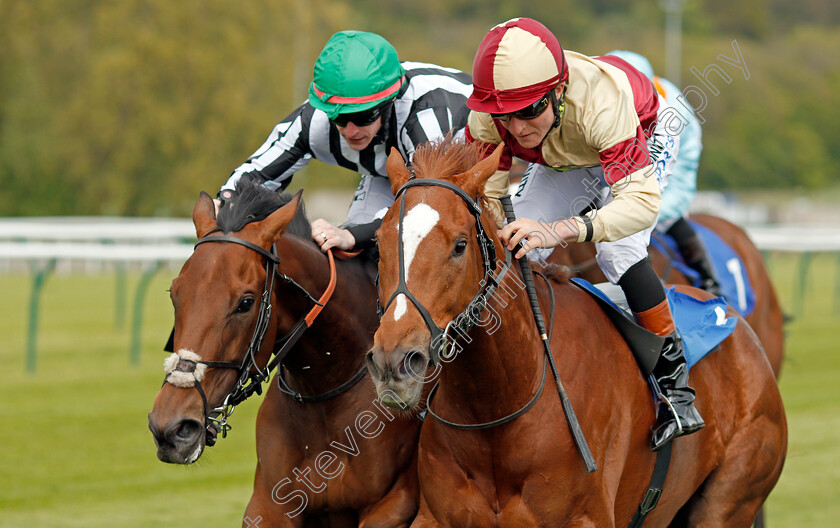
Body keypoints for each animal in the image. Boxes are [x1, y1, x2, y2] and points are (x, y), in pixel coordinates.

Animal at [148, 183, 420, 528]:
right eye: (174, 293)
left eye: (246, 302)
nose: (170, 428)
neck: (326, 393)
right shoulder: (269, 504)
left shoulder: (395, 502)